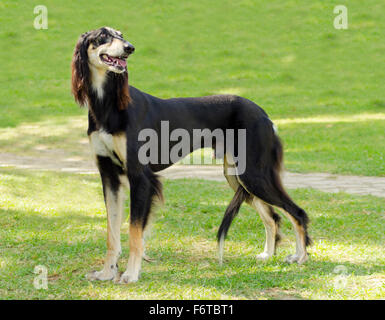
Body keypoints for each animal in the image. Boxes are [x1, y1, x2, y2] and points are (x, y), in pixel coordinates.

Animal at [71, 26, 308, 282]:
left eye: (122, 35)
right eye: (103, 36)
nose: (129, 48)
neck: (108, 103)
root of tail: (264, 114)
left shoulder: (140, 177)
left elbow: (135, 232)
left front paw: (131, 274)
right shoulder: (109, 176)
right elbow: (111, 232)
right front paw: (107, 272)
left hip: (253, 174)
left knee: (297, 212)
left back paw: (301, 256)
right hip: (238, 176)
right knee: (273, 217)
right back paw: (268, 255)